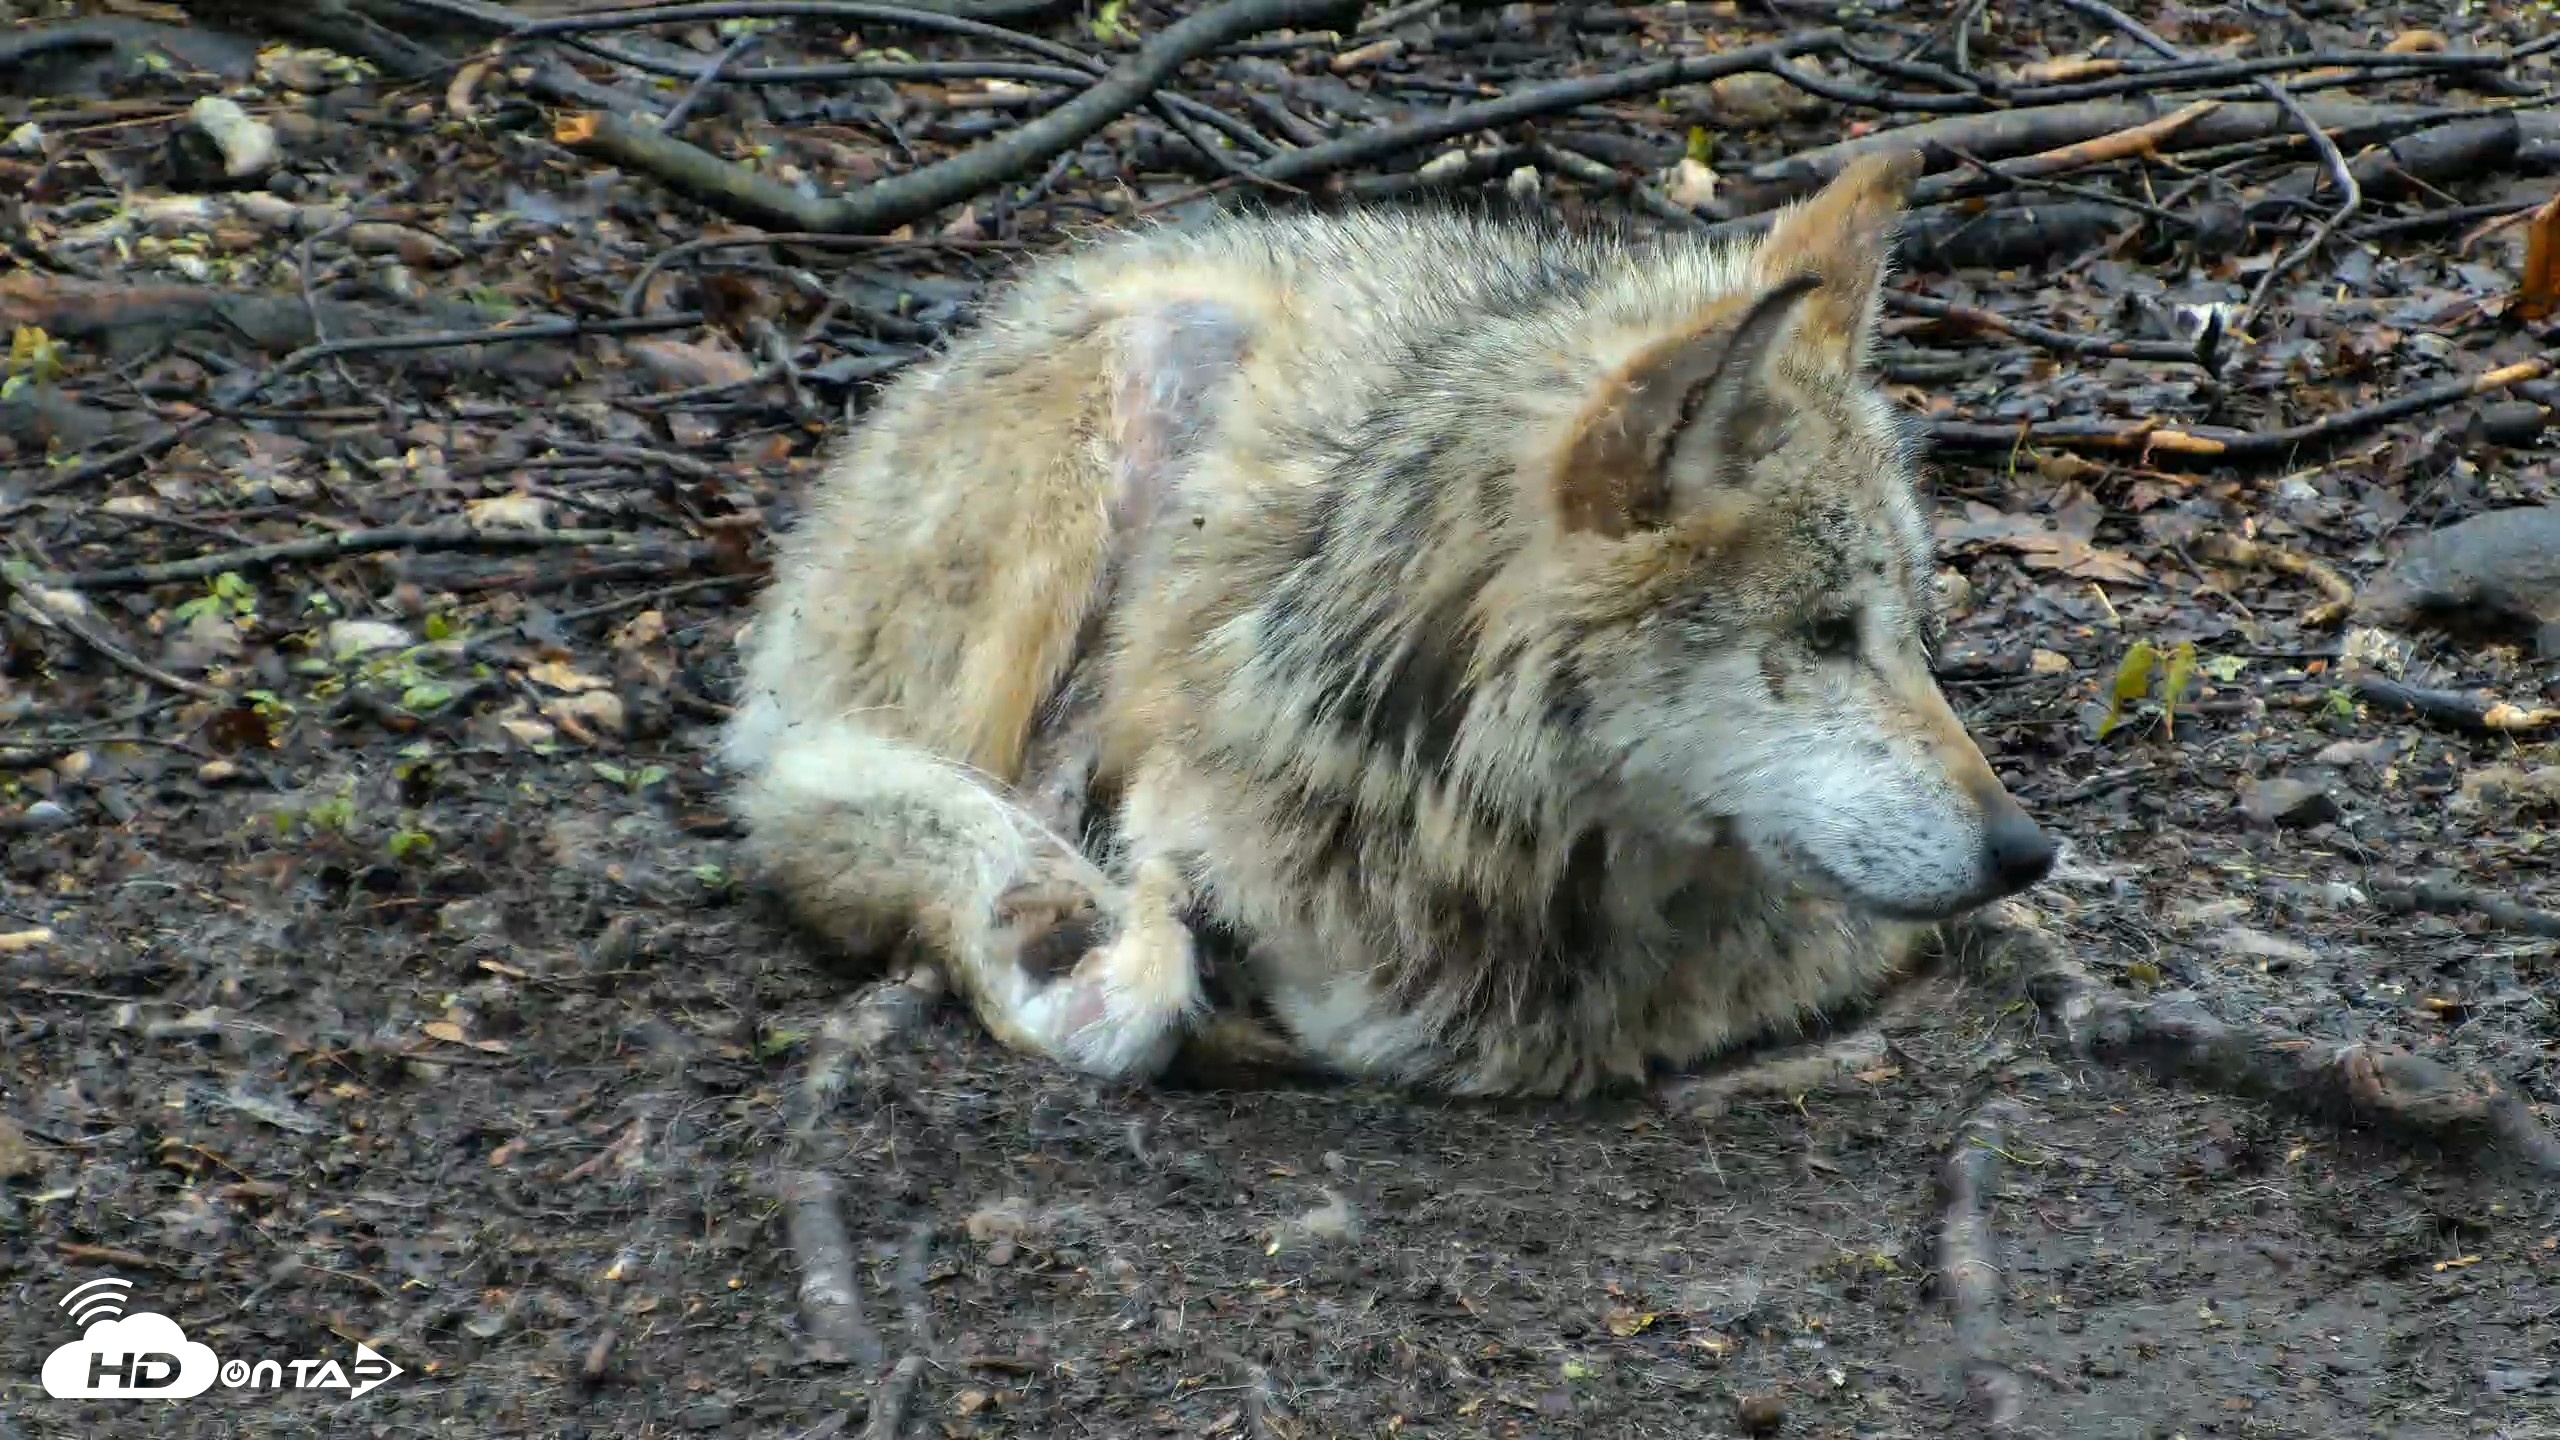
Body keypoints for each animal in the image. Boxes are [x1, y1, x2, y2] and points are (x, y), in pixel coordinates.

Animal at [718, 149, 2058, 1099]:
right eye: (1826, 633)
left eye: (1914, 632)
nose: (2025, 853)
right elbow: (1148, 956)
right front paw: (1105, 949)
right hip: (1144, 381)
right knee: (849, 784)